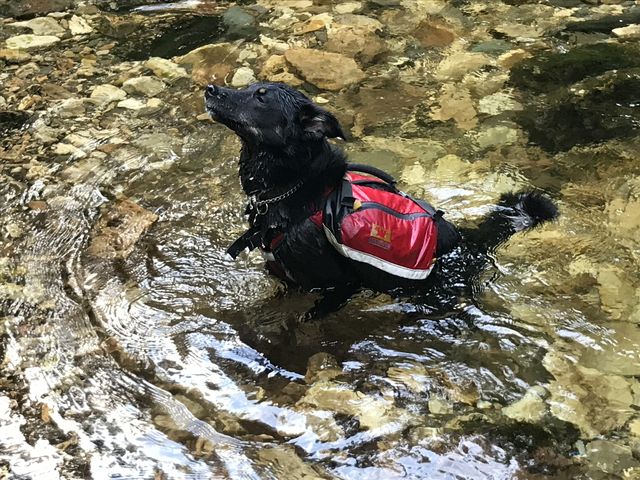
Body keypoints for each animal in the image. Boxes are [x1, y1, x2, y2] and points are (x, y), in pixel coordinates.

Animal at [204, 83, 556, 318]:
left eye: (261, 97)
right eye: (248, 87)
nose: (210, 88)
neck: (296, 187)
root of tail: (472, 242)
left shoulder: (337, 285)